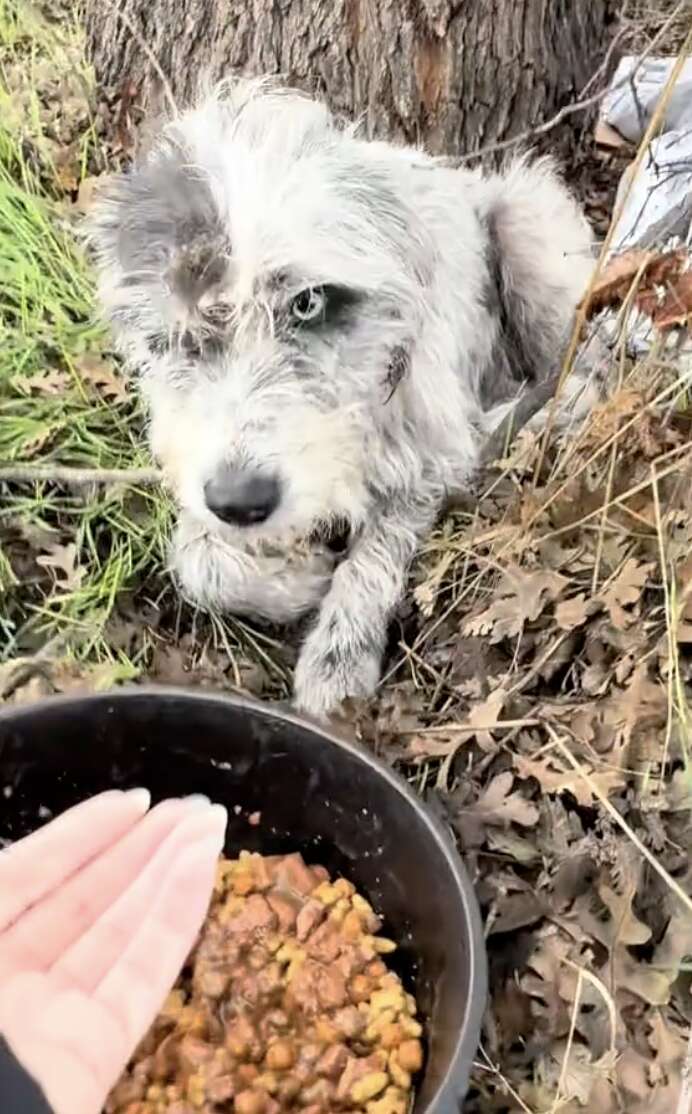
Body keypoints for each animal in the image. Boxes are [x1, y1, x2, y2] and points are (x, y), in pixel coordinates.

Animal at [86, 80, 592, 721]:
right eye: (174, 333)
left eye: (308, 302)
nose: (243, 501)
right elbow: (195, 560)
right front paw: (296, 580)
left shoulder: (428, 455)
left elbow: (374, 556)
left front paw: (337, 660)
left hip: (525, 225)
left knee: (588, 366)